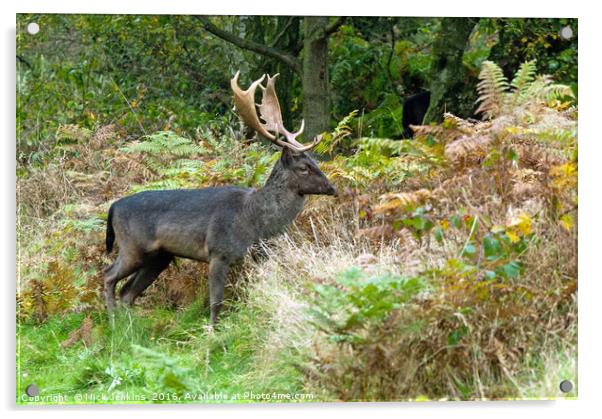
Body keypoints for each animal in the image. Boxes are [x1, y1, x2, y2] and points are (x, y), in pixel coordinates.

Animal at [105, 71, 336, 328]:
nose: (332, 187)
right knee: (109, 277)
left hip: (159, 257)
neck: (254, 220)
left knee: (127, 292)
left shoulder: (257, 256)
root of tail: (113, 207)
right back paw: (112, 324)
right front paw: (212, 331)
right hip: (132, 246)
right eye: (304, 168)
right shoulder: (218, 252)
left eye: (314, 160)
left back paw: (129, 328)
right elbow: (216, 301)